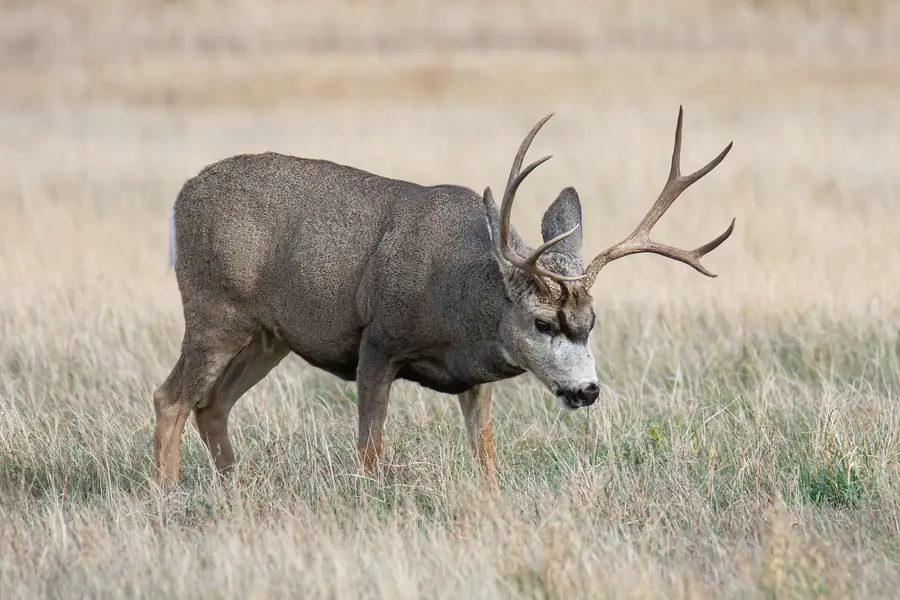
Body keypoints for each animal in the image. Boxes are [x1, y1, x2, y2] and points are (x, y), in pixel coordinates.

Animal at [152, 106, 734, 492]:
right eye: (543, 323)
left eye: (591, 322)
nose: (587, 391)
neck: (460, 302)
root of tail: (181, 197)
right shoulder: (378, 341)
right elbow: (369, 452)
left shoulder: (473, 378)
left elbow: (486, 457)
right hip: (214, 309)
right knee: (170, 398)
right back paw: (169, 496)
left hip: (267, 335)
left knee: (212, 404)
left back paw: (235, 488)